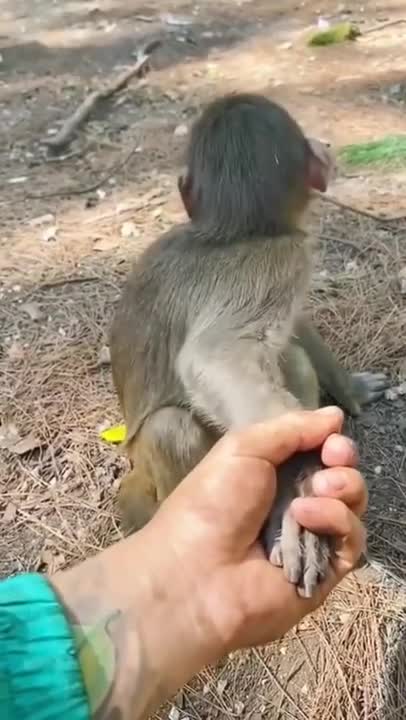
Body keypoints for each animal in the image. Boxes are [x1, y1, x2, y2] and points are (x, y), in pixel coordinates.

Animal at [110, 92, 388, 597]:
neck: (233, 232)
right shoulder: (282, 256)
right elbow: (216, 357)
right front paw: (298, 487)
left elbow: (292, 328)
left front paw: (349, 389)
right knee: (170, 427)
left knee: (291, 357)